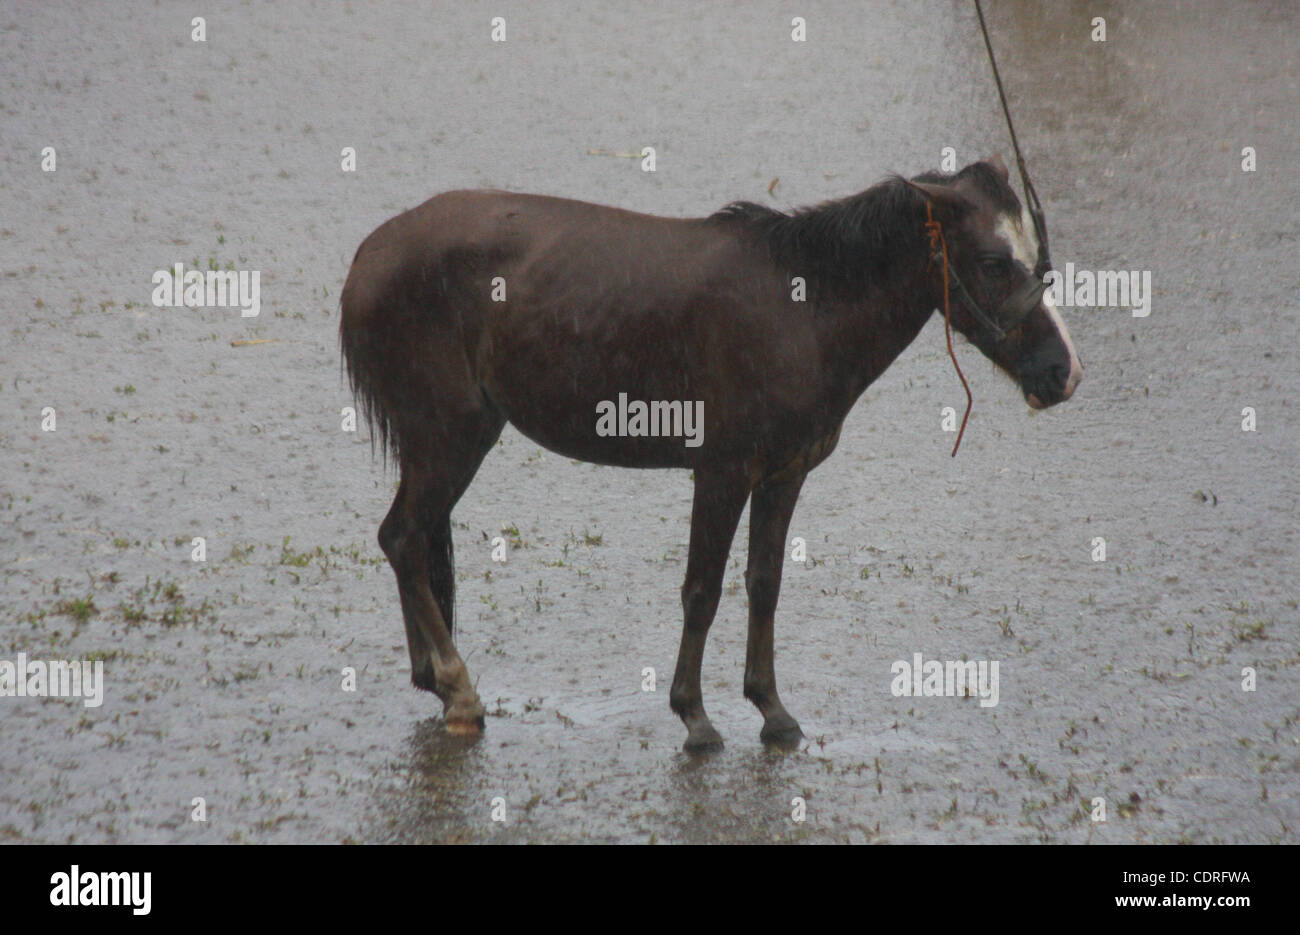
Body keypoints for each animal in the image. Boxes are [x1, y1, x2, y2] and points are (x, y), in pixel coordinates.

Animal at [340, 155, 1081, 754]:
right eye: (993, 262)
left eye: (1039, 255)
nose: (1062, 372)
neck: (802, 308)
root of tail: (369, 254)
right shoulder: (721, 471)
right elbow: (701, 590)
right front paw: (694, 717)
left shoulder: (784, 473)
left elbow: (763, 583)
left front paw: (771, 709)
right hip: (451, 435)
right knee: (402, 537)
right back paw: (459, 688)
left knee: (413, 541)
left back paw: (435, 680)